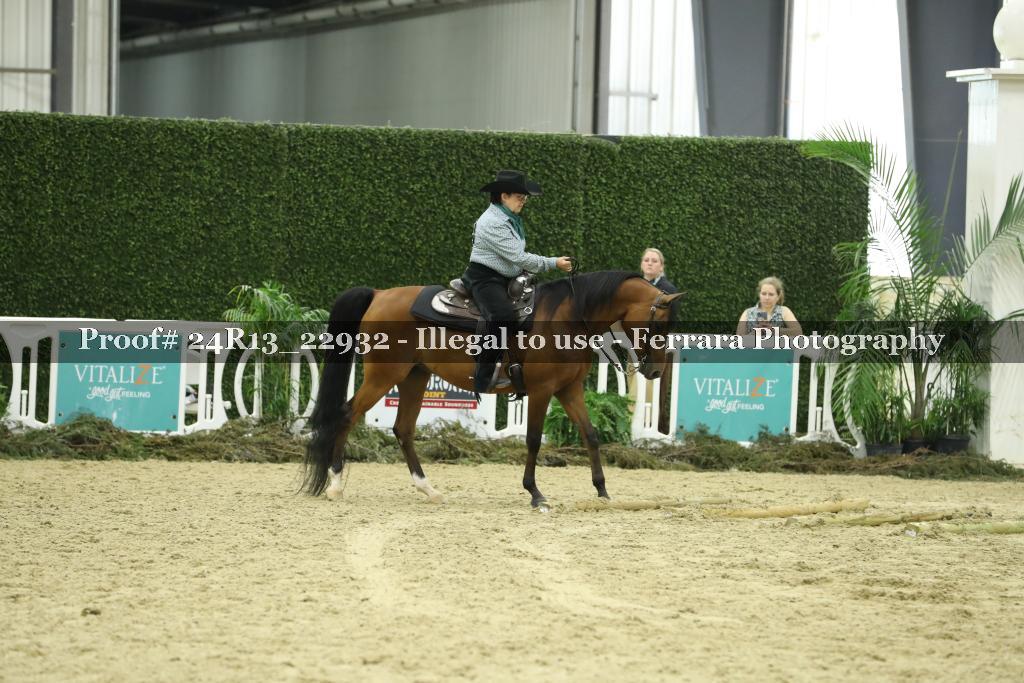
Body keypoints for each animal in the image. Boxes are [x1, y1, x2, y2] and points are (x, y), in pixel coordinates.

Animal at [301, 271, 683, 508]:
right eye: (658, 325)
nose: (654, 370)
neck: (566, 317)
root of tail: (380, 294)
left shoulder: (569, 389)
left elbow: (590, 434)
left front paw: (602, 490)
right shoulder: (542, 391)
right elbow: (533, 440)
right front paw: (535, 493)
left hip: (414, 376)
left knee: (403, 429)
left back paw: (429, 489)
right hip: (383, 375)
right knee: (347, 415)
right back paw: (335, 483)